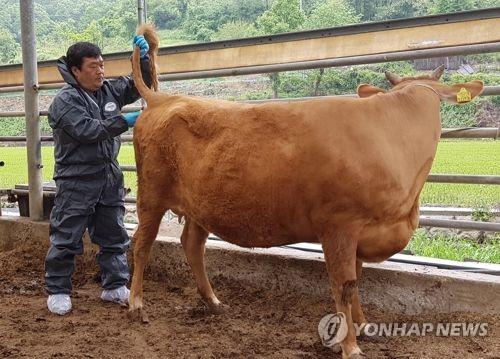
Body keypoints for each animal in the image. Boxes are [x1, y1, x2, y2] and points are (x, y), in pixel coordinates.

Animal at [129, 25, 484, 359]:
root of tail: (164, 99)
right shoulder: (339, 226)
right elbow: (344, 285)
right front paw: (350, 346)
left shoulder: (361, 233)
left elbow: (358, 279)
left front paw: (364, 325)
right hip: (151, 196)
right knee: (141, 244)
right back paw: (136, 304)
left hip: (201, 204)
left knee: (192, 245)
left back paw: (214, 301)